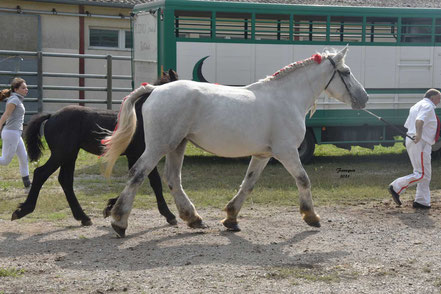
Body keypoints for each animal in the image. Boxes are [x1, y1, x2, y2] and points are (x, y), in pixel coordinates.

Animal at [12, 70, 177, 226]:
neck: (142, 117)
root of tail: (51, 116)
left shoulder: (134, 155)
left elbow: (136, 179)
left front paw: (110, 206)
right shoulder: (143, 153)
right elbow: (153, 181)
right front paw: (169, 215)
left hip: (70, 155)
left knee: (65, 180)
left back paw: (83, 217)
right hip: (61, 154)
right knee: (41, 174)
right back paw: (22, 210)